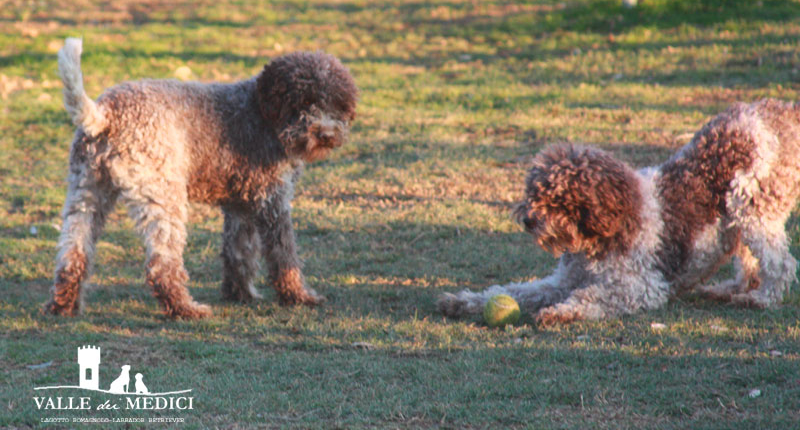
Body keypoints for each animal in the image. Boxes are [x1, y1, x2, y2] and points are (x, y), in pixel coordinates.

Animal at [43, 37, 356, 320]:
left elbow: (239, 251)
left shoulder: (241, 205)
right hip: (163, 196)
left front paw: (240, 294)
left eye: (336, 104)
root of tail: (106, 115)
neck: (263, 115)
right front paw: (299, 296)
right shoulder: (272, 201)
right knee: (161, 266)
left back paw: (63, 305)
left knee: (73, 255)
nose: (325, 134)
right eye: (303, 101)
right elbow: (283, 254)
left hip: (86, 193)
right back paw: (186, 309)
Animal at [440, 99, 796, 324]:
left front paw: (561, 312)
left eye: (560, 200)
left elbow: (594, 296)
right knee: (749, 262)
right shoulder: (561, 280)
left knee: (779, 262)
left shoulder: (642, 287)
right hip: (739, 218)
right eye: (534, 192)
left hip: (752, 205)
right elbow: (515, 290)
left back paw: (760, 298)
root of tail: (779, 109)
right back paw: (730, 289)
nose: (529, 220)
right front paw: (465, 301)